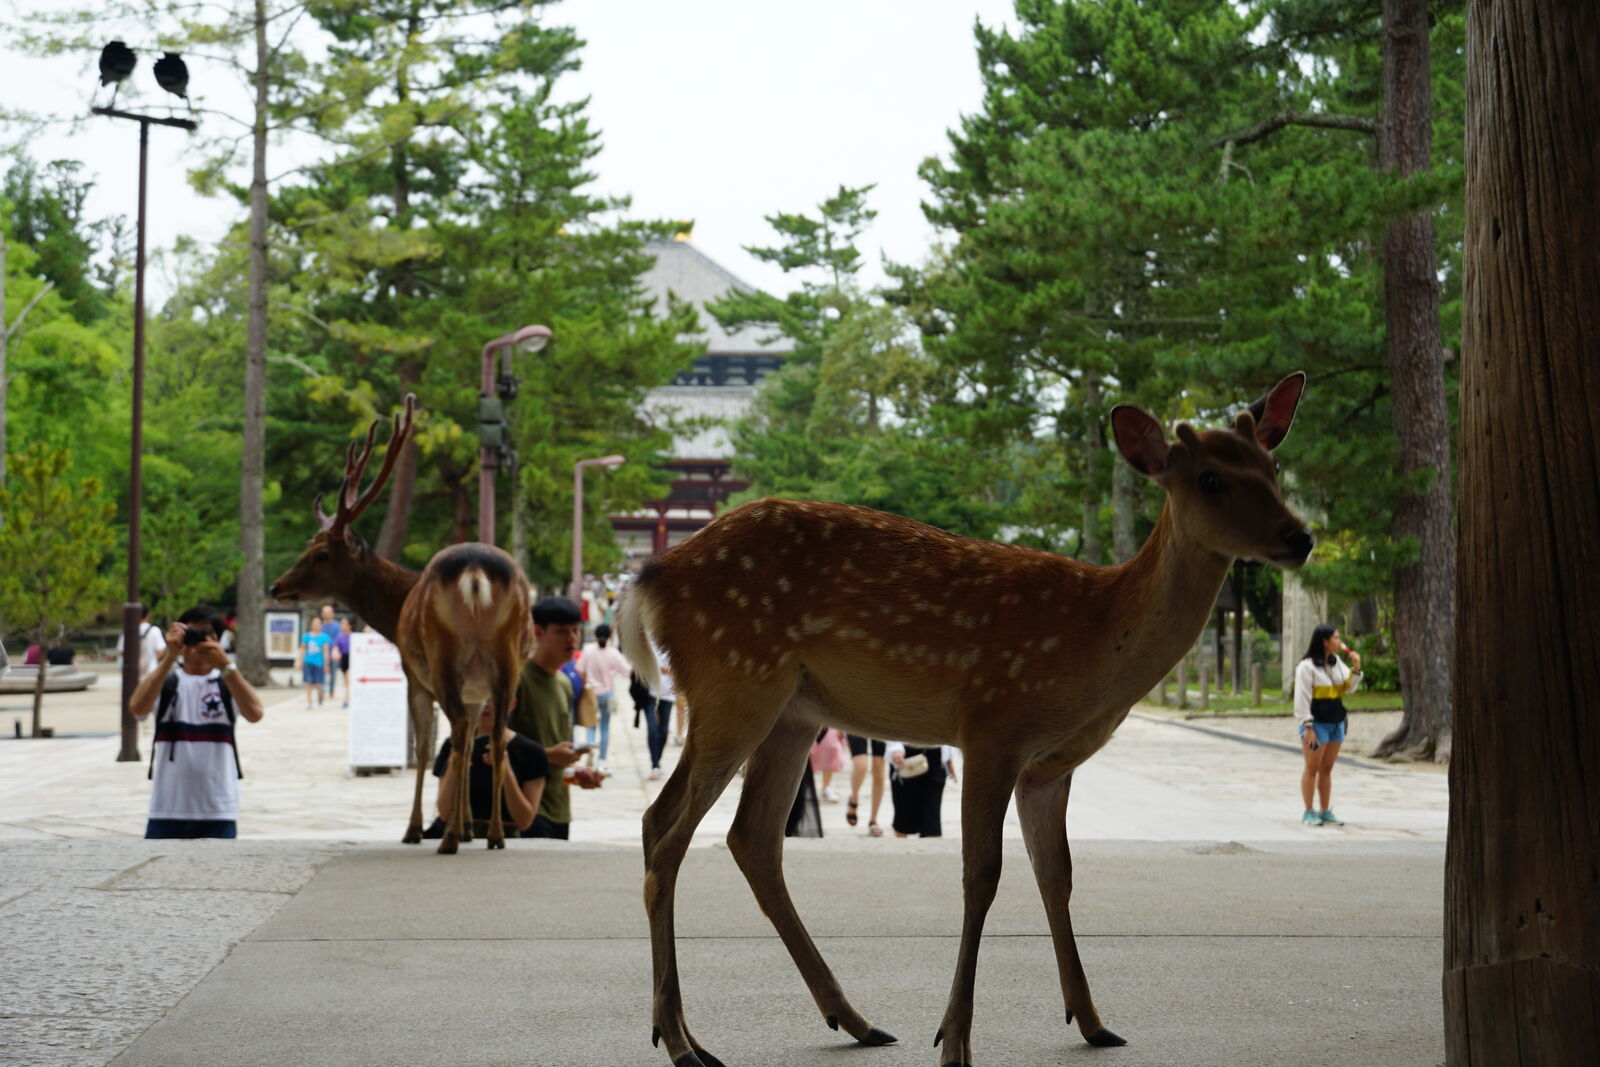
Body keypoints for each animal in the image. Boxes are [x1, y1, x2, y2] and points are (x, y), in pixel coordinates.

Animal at [268, 395, 534, 853]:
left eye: (321, 554)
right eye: (307, 546)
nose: (277, 585)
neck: (394, 612)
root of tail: (475, 573)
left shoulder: (414, 674)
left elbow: (426, 746)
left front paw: (415, 830)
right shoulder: (476, 689)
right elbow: (470, 744)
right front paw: (468, 825)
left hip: (441, 652)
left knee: (452, 732)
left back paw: (446, 840)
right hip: (507, 658)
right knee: (496, 736)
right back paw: (495, 836)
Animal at [617, 373, 1314, 1067]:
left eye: (1274, 467)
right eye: (1210, 479)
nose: (1300, 537)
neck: (1096, 638)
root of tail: (650, 577)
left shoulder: (1049, 766)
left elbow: (1057, 874)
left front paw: (1092, 1021)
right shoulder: (992, 724)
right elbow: (982, 875)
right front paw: (954, 1040)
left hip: (790, 710)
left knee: (743, 836)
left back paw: (848, 1020)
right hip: (736, 681)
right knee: (669, 831)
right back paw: (680, 1041)